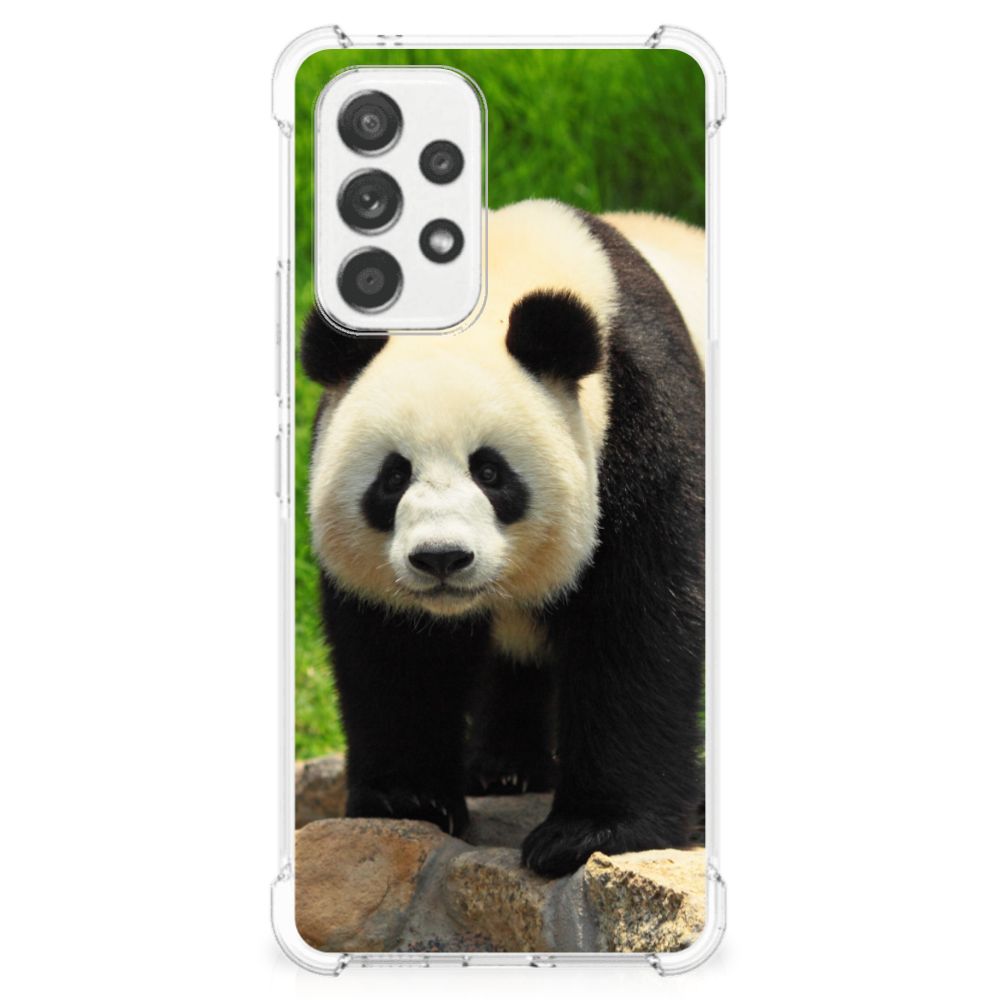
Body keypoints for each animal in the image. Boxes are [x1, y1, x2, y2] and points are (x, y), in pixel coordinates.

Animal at [302, 199, 705, 877]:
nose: (441, 558)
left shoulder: (642, 421)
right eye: (393, 476)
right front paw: (408, 800)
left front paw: (588, 833)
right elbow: (395, 650)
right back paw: (504, 769)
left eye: (490, 472)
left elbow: (639, 625)